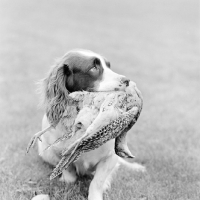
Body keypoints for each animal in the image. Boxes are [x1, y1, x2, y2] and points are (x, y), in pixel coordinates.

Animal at [36, 49, 145, 200]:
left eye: (109, 66)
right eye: (93, 68)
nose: (127, 80)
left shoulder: (110, 157)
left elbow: (97, 182)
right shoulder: (57, 152)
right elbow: (69, 175)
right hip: (44, 151)